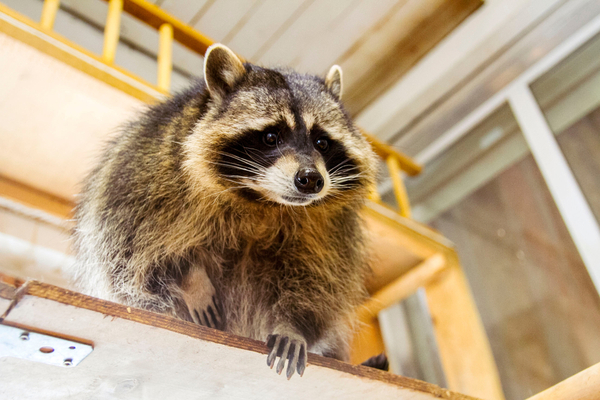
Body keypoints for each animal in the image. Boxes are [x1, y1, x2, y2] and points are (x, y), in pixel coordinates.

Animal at [71, 43, 380, 378]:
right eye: (271, 137)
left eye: (322, 142)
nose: (311, 179)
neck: (262, 199)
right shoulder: (148, 176)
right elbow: (144, 250)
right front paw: (191, 278)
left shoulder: (330, 229)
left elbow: (317, 280)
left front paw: (292, 326)